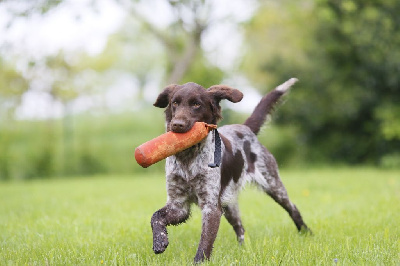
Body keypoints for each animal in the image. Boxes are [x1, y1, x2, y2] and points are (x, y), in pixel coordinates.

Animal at [152, 78, 310, 262]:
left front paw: (199, 261)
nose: (177, 125)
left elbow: (205, 242)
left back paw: (306, 233)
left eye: (197, 104)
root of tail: (245, 128)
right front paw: (160, 240)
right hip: (229, 204)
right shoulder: (179, 204)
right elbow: (155, 217)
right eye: (175, 103)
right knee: (240, 229)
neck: (188, 158)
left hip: (273, 185)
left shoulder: (211, 206)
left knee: (293, 208)